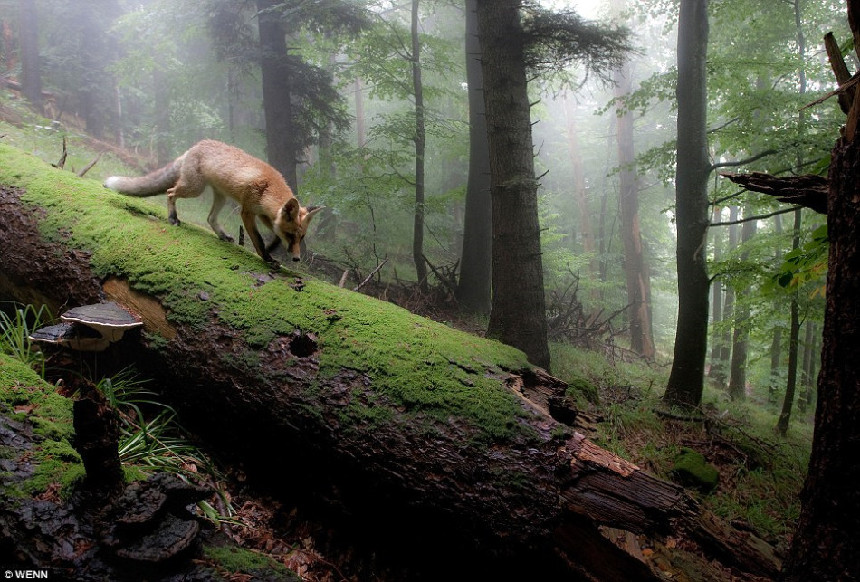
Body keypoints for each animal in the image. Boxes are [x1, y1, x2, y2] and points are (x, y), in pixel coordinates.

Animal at [103, 140, 322, 264]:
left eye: (301, 237)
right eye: (291, 235)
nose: (296, 258)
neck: (267, 188)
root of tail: (194, 147)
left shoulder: (264, 215)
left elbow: (273, 235)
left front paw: (271, 249)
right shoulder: (247, 211)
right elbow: (258, 239)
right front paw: (266, 257)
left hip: (220, 198)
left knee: (209, 218)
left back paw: (222, 235)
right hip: (194, 189)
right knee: (170, 192)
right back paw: (172, 218)